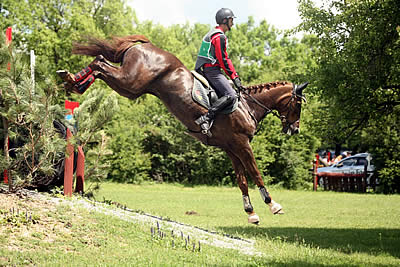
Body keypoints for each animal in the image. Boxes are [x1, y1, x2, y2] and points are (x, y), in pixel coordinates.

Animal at [57, 34, 308, 225]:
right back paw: (72, 80)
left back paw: (73, 82)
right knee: (100, 63)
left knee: (99, 63)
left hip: (130, 88)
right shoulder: (241, 144)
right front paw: (273, 205)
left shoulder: (231, 148)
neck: (248, 106)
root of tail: (144, 45)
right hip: (131, 82)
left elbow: (242, 180)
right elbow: (255, 173)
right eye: (298, 105)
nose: (294, 130)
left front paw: (251, 214)